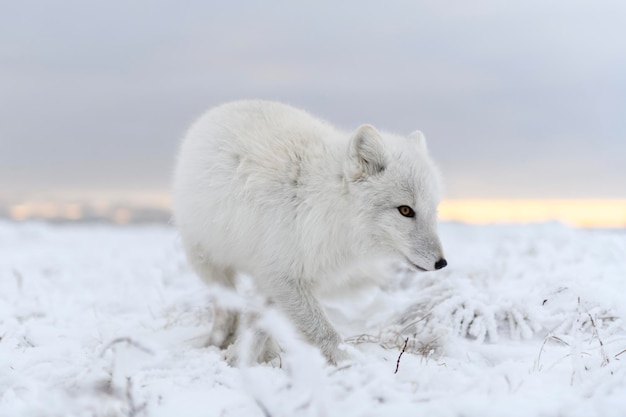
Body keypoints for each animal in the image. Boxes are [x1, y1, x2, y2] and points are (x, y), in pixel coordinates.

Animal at [171, 99, 444, 362]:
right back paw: (218, 340)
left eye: (433, 210)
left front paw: (244, 354)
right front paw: (350, 364)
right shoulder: (282, 275)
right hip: (209, 261)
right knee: (226, 310)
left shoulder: (288, 276)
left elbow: (263, 322)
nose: (442, 263)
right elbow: (325, 333)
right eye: (406, 210)